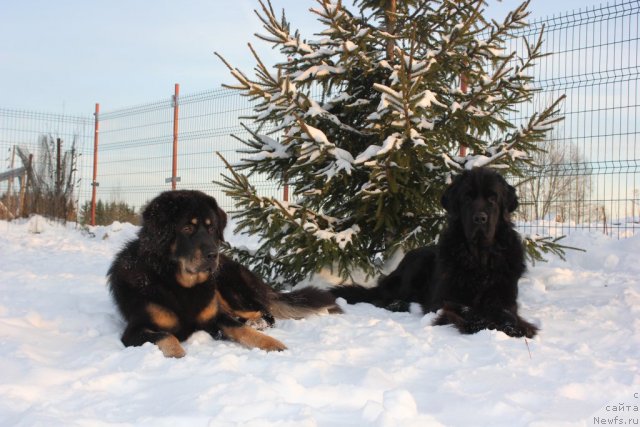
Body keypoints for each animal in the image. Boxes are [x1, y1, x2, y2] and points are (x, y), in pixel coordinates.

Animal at [107, 191, 342, 358]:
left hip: (229, 287)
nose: (213, 254)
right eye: (187, 228)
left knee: (263, 313)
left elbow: (240, 328)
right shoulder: (134, 331)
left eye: (211, 228)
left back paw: (257, 322)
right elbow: (167, 335)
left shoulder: (215, 316)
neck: (179, 284)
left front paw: (271, 343)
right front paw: (178, 354)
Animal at [332, 167, 536, 338]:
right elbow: (462, 308)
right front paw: (478, 322)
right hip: (416, 267)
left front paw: (515, 326)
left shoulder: (505, 294)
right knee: (381, 297)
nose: (480, 218)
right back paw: (398, 304)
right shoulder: (443, 298)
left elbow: (504, 310)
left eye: (493, 198)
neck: (478, 257)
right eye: (467, 198)